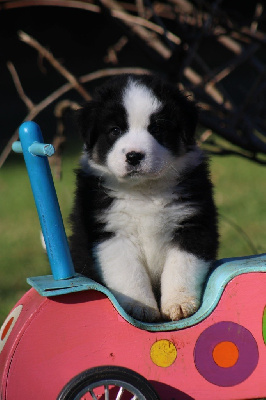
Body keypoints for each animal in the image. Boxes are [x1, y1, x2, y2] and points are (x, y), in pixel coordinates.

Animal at [69, 74, 218, 322]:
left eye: (157, 127)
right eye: (115, 130)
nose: (134, 156)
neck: (143, 190)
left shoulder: (191, 223)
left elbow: (181, 266)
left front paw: (178, 304)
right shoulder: (112, 232)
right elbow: (129, 274)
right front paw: (141, 308)